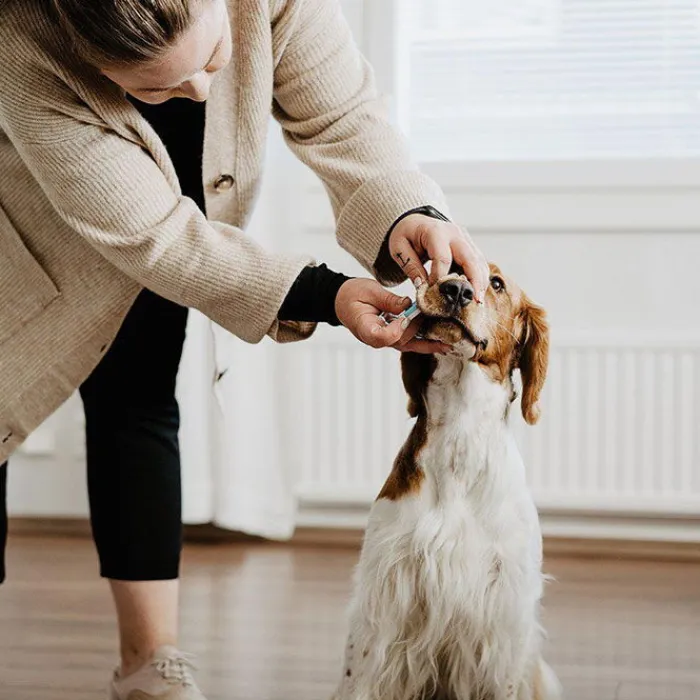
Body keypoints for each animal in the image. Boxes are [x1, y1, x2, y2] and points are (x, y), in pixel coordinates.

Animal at [330, 264, 564, 700]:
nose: (456, 290)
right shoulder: (384, 596)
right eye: (444, 270)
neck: (460, 433)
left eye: (496, 283)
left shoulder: (504, 611)